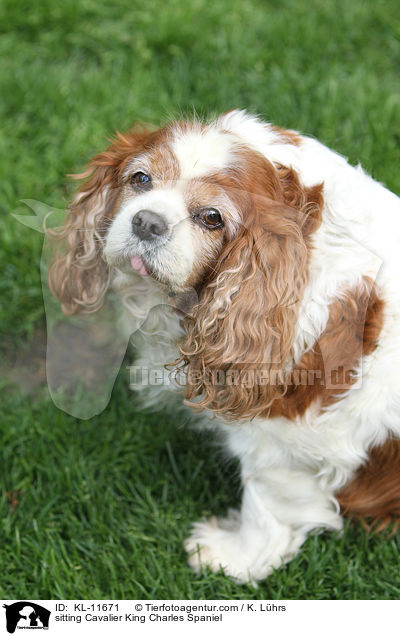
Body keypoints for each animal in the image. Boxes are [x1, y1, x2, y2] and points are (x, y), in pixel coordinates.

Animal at [48, 110, 400, 580]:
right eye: (140, 178)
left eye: (212, 218)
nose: (147, 222)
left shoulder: (286, 443)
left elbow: (264, 504)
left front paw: (233, 557)